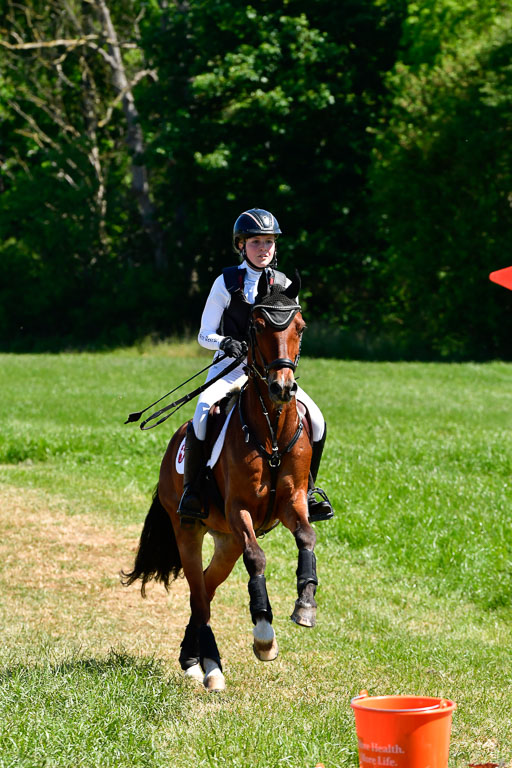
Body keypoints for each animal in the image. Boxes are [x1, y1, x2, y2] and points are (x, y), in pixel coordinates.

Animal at [121, 272, 318, 692]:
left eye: (300, 326)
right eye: (257, 326)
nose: (282, 387)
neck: (271, 432)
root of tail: (173, 445)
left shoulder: (292, 501)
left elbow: (307, 537)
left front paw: (306, 605)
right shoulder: (239, 508)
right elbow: (257, 558)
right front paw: (264, 636)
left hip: (225, 540)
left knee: (206, 592)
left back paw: (195, 659)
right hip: (188, 530)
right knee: (198, 593)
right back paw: (208, 667)